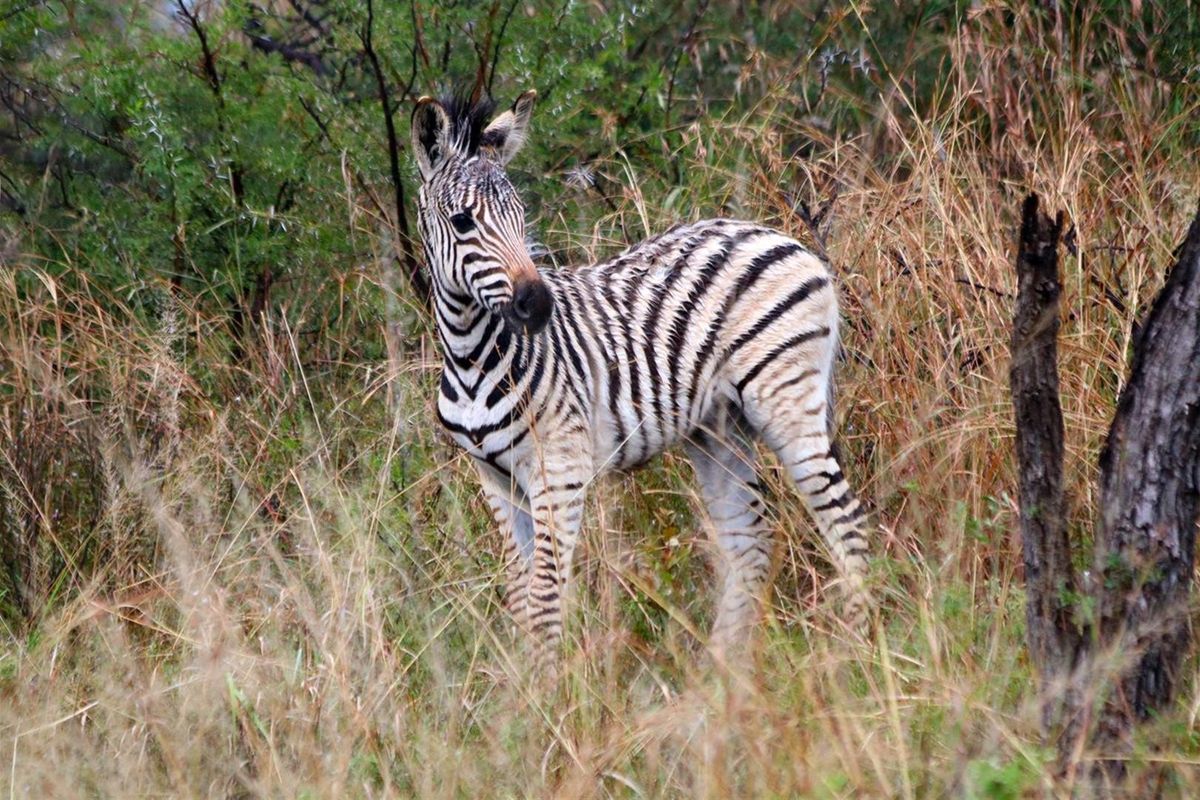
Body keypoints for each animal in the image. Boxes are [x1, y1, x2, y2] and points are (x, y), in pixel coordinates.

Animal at [411, 90, 872, 666]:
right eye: (462, 222)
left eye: (520, 215)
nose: (537, 305)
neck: (471, 355)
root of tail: (782, 235)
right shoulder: (494, 480)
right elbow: (520, 596)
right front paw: (523, 683)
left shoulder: (559, 467)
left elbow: (544, 598)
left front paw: (552, 688)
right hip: (719, 429)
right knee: (750, 545)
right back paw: (719, 675)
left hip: (784, 396)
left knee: (846, 524)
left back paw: (853, 652)